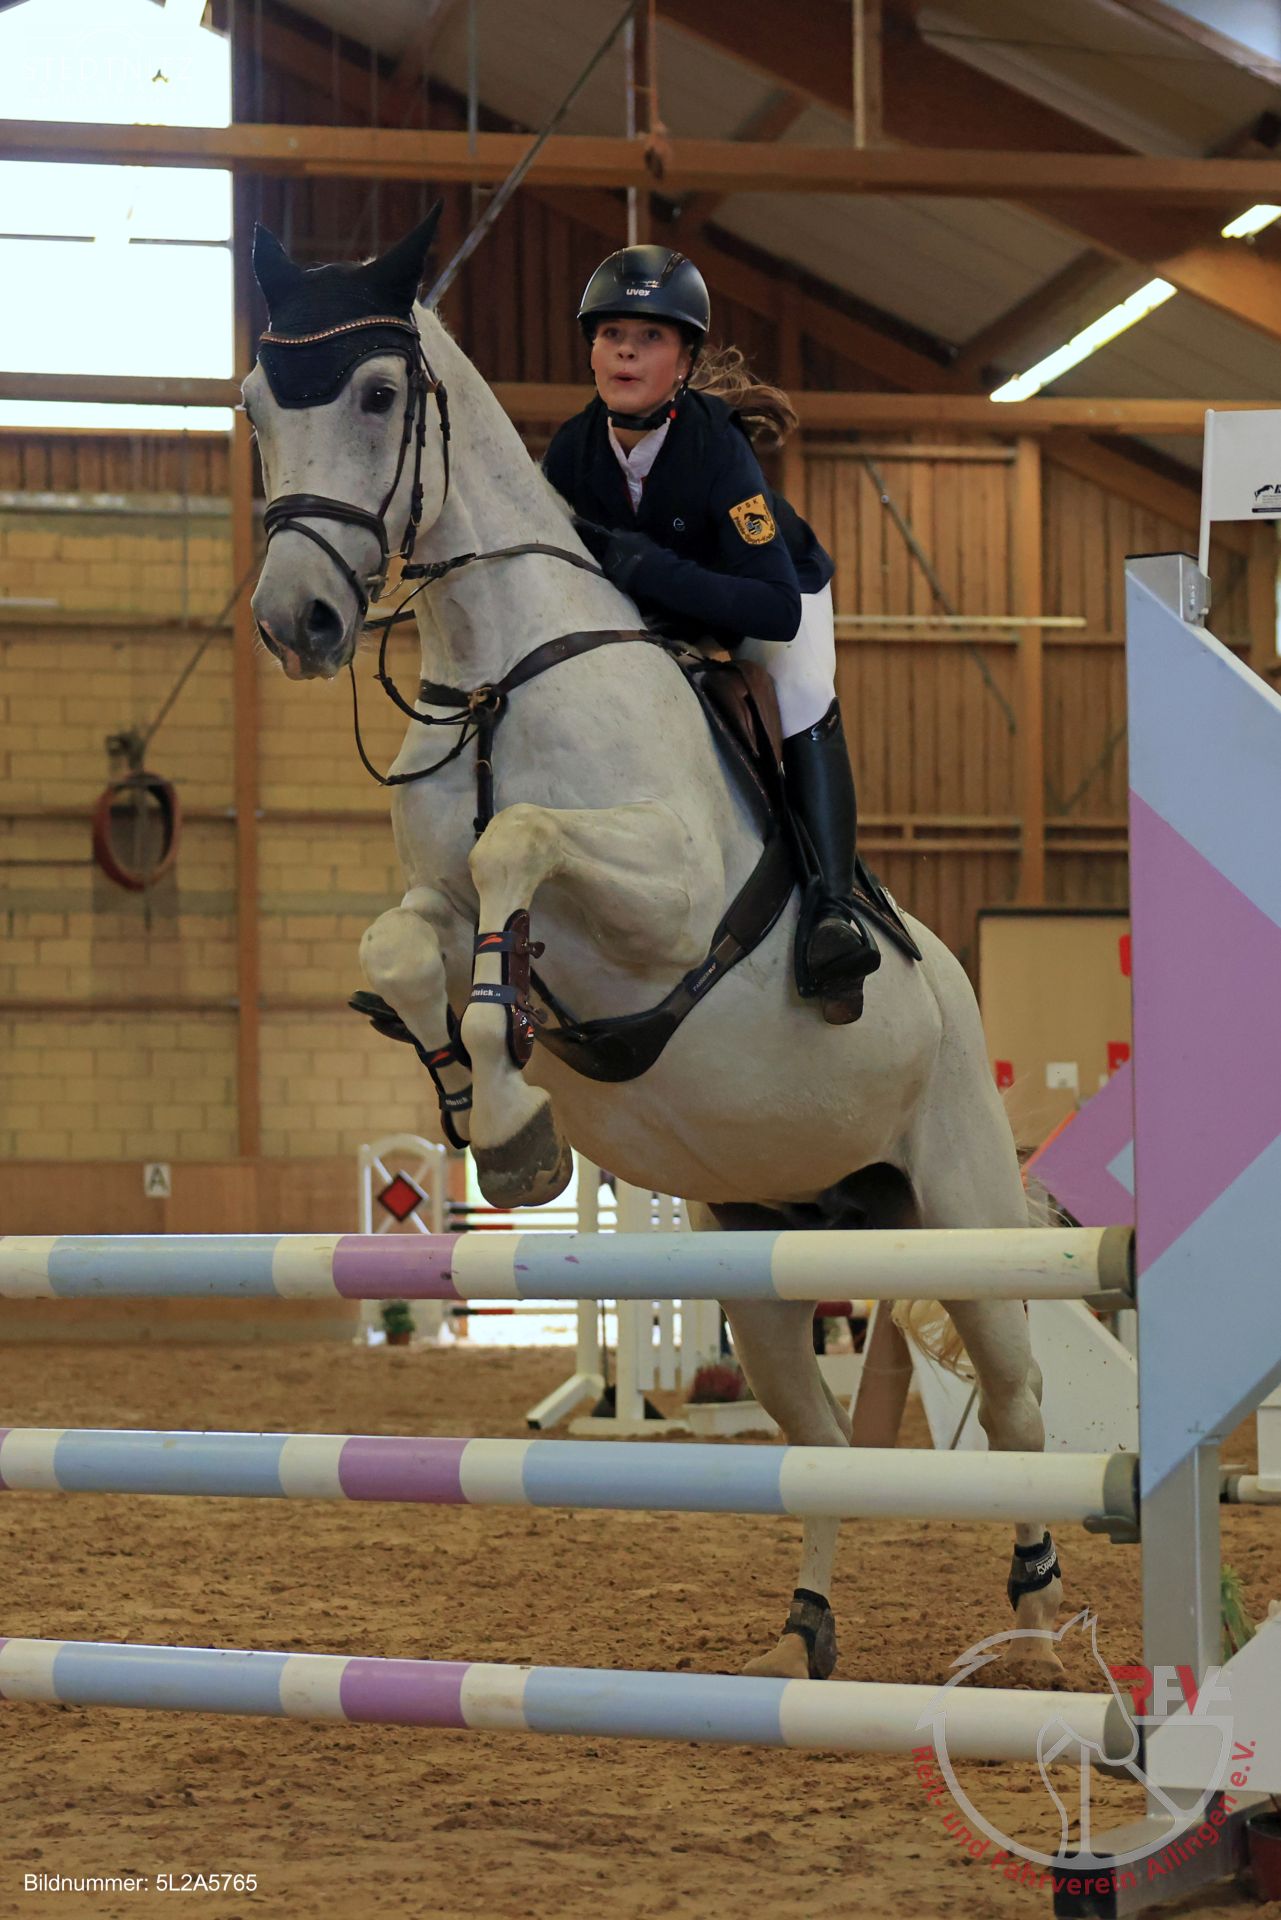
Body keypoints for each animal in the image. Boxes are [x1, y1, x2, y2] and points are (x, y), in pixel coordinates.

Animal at [243, 208, 1063, 1684]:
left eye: (380, 395)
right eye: (255, 409)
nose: (297, 625)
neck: (503, 674)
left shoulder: (668, 899)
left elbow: (518, 851)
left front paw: (512, 1109)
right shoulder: (437, 904)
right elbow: (409, 945)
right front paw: (484, 1109)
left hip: (963, 1205)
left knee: (1019, 1403)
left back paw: (1033, 1625)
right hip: (769, 1248)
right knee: (819, 1441)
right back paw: (805, 1634)